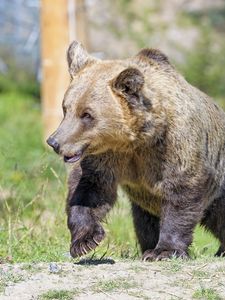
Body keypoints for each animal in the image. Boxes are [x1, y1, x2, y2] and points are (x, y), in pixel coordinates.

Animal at [46, 41, 225, 262]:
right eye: (66, 108)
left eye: (87, 114)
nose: (54, 142)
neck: (136, 140)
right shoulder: (108, 158)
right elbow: (88, 189)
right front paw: (85, 241)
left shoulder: (174, 148)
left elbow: (180, 195)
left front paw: (163, 251)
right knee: (145, 224)